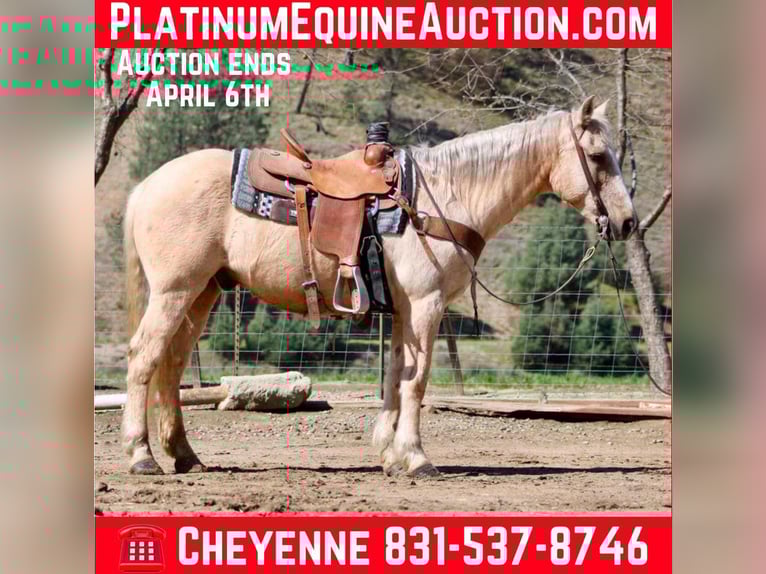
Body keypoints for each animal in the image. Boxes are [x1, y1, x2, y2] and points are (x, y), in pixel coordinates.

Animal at [121, 96, 637, 477]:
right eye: (597, 157)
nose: (628, 222)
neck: (446, 195)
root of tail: (145, 186)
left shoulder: (406, 310)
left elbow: (396, 376)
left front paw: (390, 455)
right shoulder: (426, 305)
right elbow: (417, 380)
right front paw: (417, 458)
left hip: (202, 292)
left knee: (171, 363)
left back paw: (185, 455)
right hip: (175, 291)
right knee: (145, 357)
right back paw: (142, 456)